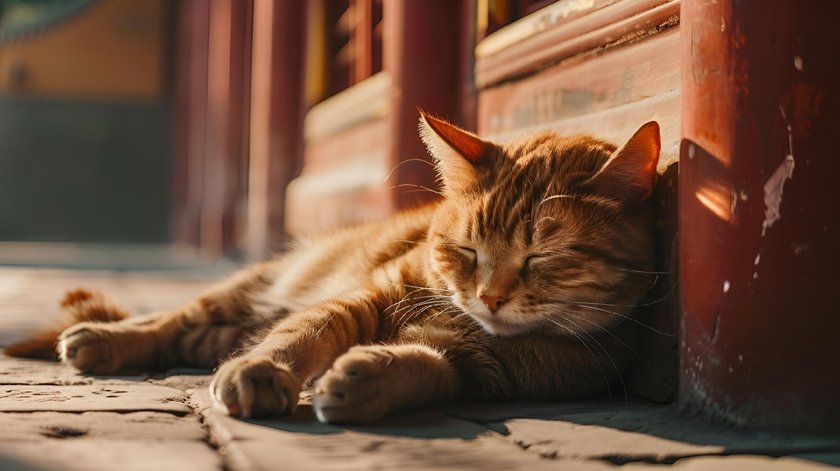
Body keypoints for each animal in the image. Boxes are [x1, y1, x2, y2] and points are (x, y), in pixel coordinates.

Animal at [8, 114, 664, 424]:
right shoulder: (368, 295)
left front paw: (367, 378)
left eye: (541, 258)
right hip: (248, 288)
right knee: (172, 319)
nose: (490, 298)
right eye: (468, 251)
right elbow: (308, 331)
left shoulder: (480, 367)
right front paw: (264, 370)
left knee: (201, 336)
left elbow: (425, 367)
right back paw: (101, 337)